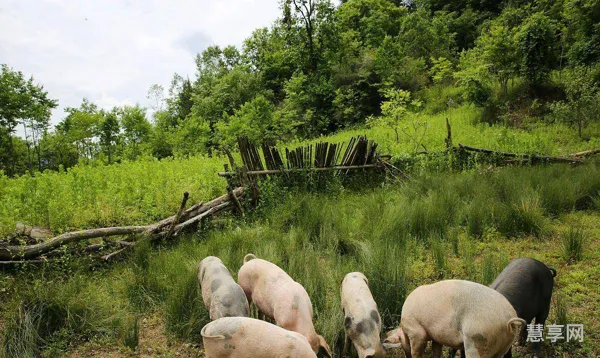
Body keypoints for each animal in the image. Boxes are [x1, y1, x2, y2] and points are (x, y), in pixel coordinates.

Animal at [386, 280, 524, 358]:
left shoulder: (416, 332)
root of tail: (508, 319)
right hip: (503, 346)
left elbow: (417, 351)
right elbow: (436, 350)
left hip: (477, 339)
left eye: (401, 343)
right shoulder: (436, 336)